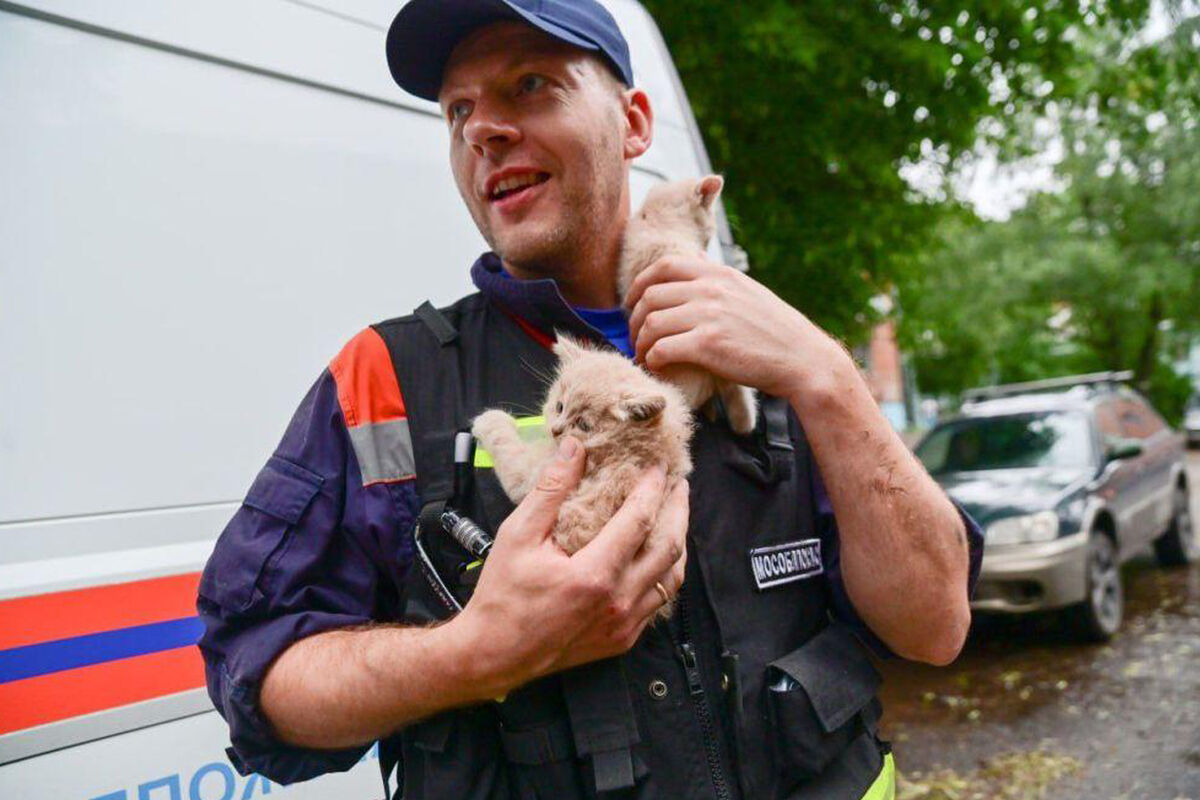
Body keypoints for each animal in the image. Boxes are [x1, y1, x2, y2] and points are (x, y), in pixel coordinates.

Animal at [470, 331, 696, 614]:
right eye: (559, 406)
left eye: (583, 425)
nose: (555, 430)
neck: (632, 449)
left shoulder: (534, 473)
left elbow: (509, 449)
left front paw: (490, 420)